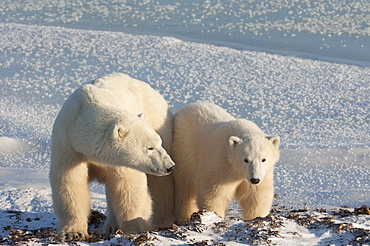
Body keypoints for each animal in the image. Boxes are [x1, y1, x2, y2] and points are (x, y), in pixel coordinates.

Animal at [49, 73, 176, 240]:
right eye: (149, 147)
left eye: (158, 143)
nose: (169, 166)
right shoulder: (67, 144)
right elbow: (70, 181)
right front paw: (73, 232)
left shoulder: (117, 160)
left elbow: (128, 184)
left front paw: (135, 226)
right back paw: (111, 225)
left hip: (158, 118)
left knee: (160, 184)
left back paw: (163, 220)